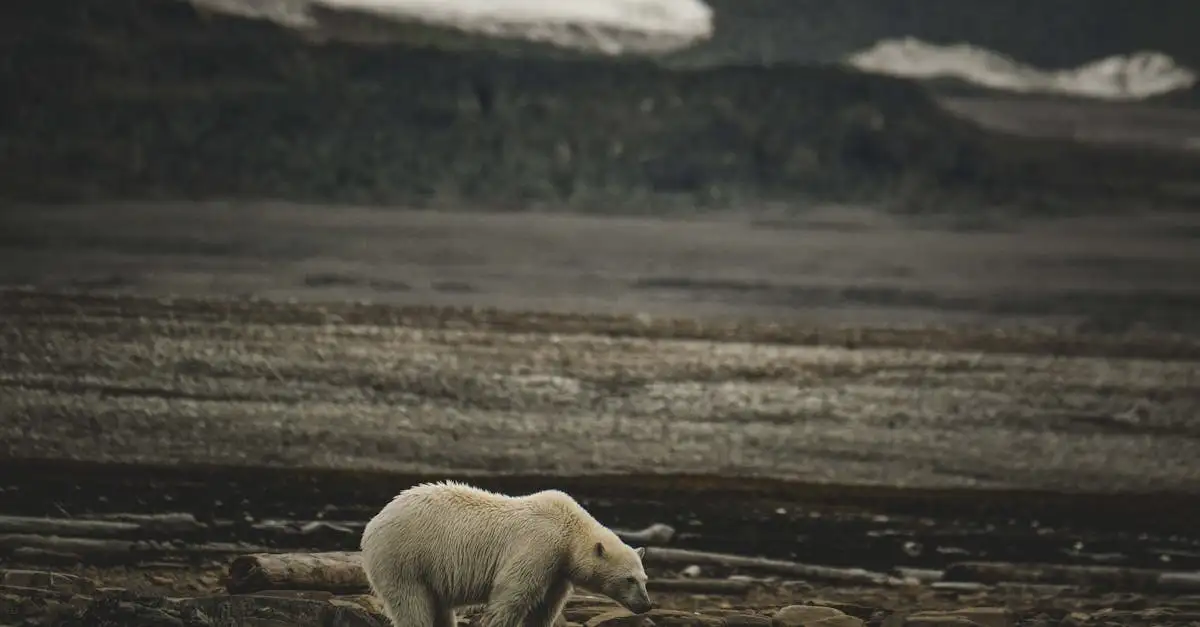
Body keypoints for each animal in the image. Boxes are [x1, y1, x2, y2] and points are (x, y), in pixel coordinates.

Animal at [359, 480, 652, 627]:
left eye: (644, 579)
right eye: (629, 579)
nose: (646, 604)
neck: (569, 530)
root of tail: (373, 523)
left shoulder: (558, 570)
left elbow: (544, 608)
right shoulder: (539, 546)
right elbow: (512, 595)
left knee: (439, 608)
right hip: (404, 557)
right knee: (412, 604)